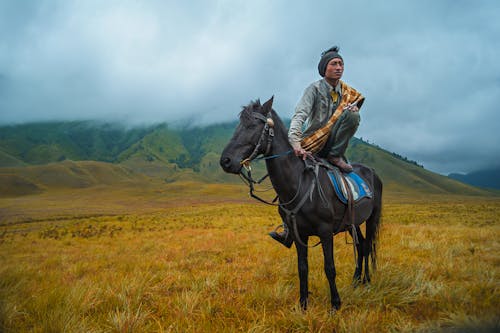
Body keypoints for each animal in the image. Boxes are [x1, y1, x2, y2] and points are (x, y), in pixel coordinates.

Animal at [220, 96, 382, 308]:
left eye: (253, 125)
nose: (225, 161)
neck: (299, 183)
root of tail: (372, 171)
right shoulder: (298, 234)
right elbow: (302, 268)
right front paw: (303, 304)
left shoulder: (325, 232)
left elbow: (329, 267)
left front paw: (335, 304)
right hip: (352, 223)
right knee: (361, 245)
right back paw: (356, 281)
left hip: (371, 218)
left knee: (368, 245)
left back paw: (368, 281)